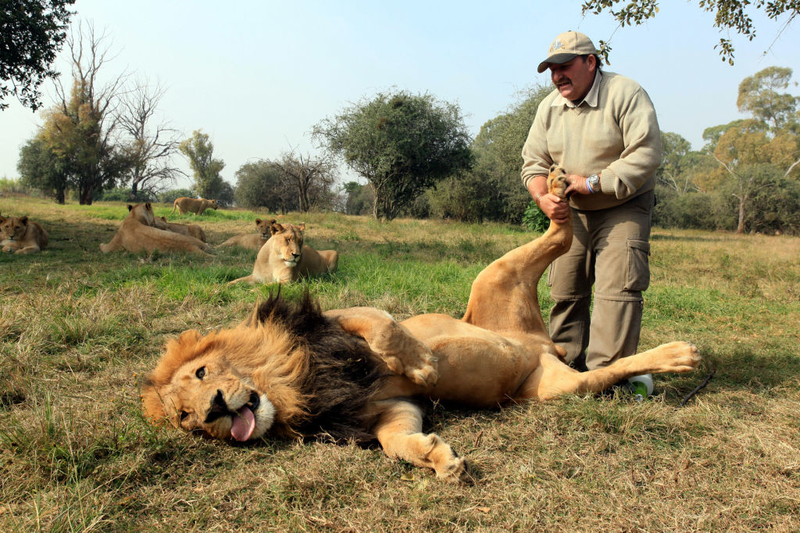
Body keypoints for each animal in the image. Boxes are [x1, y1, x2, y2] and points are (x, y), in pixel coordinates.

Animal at [144, 167, 700, 482]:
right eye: (186, 419)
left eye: (200, 375)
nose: (214, 409)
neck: (292, 386)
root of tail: (542, 344)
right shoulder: (388, 408)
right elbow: (397, 440)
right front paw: (438, 459)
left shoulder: (335, 320)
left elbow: (383, 326)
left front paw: (425, 365)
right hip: (553, 388)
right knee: (599, 370)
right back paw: (675, 356)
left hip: (493, 274)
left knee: (561, 233)